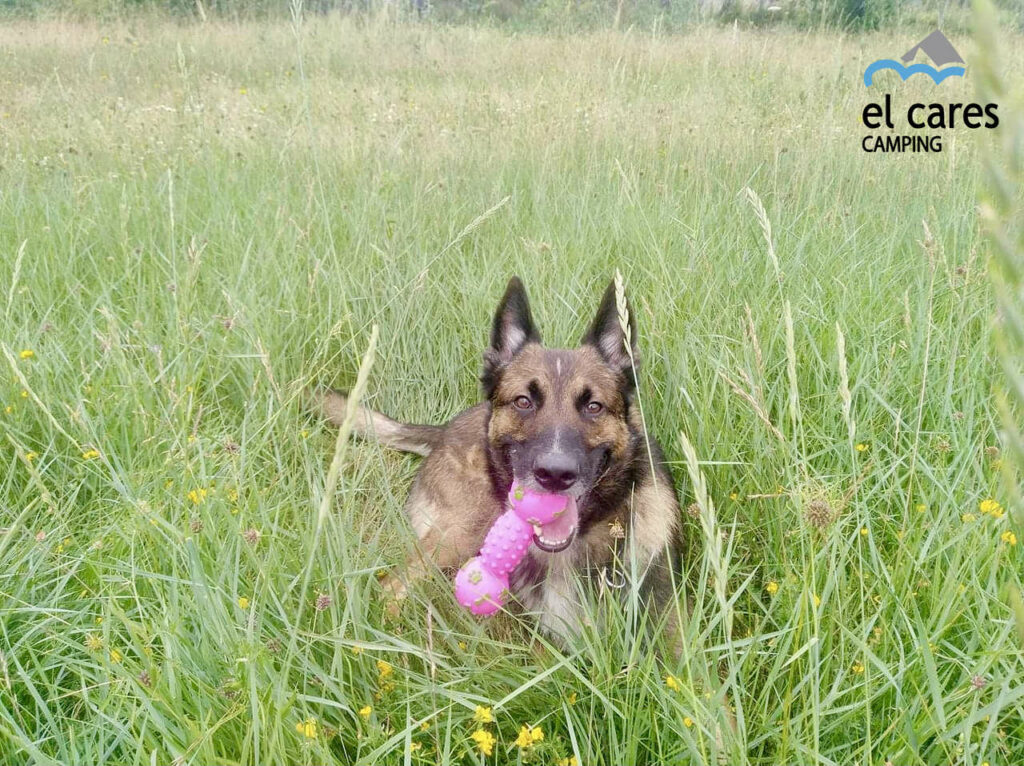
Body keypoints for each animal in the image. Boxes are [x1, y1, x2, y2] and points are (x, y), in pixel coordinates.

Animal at [315, 278, 684, 643]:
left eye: (594, 406)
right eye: (523, 401)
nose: (554, 474)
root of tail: (445, 428)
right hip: (462, 532)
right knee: (391, 588)